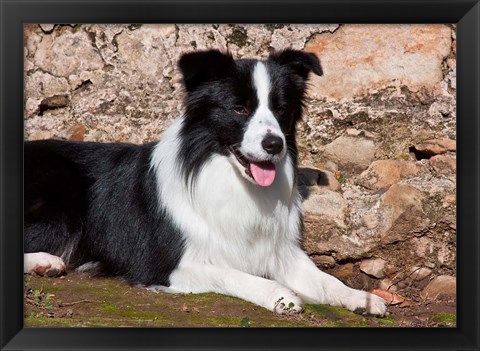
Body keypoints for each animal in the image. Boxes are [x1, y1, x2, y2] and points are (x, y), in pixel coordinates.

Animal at [25, 48, 386, 316]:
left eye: (281, 109)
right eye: (239, 108)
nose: (274, 145)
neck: (230, 178)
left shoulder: (280, 250)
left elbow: (324, 280)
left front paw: (360, 297)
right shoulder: (169, 264)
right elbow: (232, 274)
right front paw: (280, 294)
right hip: (61, 188)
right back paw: (45, 262)